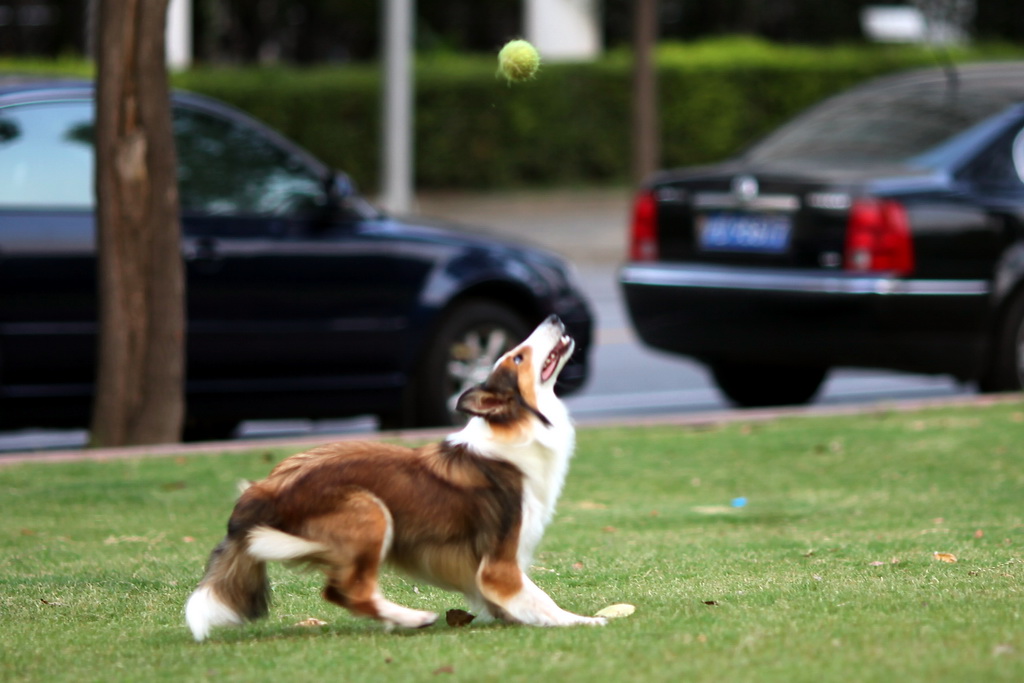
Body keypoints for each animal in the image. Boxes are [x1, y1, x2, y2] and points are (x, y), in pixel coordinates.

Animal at [185, 315, 602, 643]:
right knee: (352, 592)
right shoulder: (500, 563)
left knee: (338, 592)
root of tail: (262, 490)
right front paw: (582, 620)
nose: (554, 318)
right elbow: (540, 598)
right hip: (368, 510)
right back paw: (414, 618)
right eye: (517, 356)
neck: (517, 428)